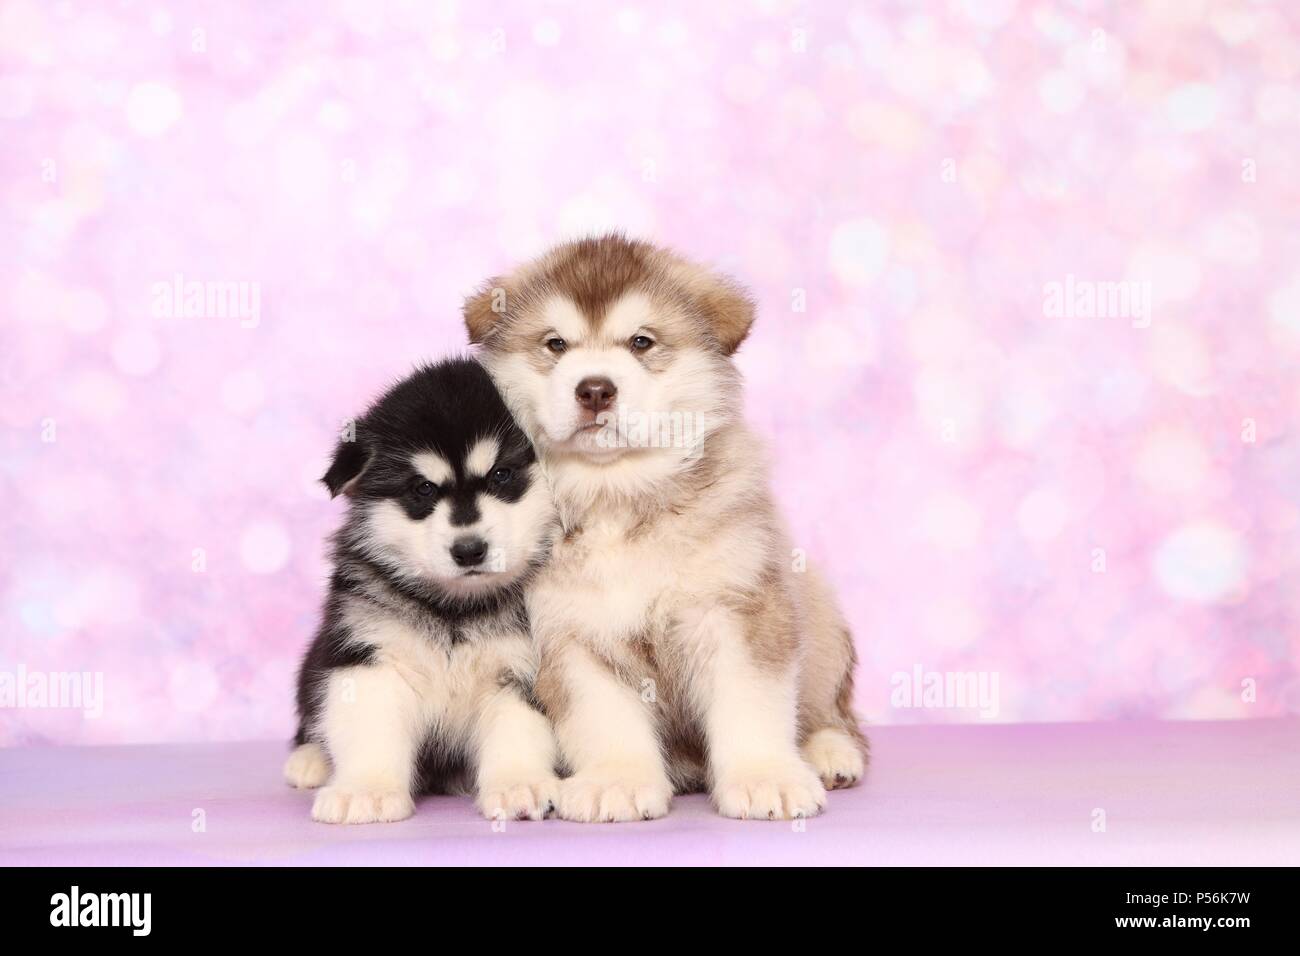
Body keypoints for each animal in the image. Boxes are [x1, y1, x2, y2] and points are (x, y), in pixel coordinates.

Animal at [284, 358, 559, 822]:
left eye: (501, 475)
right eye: (423, 488)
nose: (469, 550)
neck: (455, 610)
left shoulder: (521, 669)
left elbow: (519, 729)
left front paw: (518, 783)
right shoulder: (369, 655)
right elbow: (369, 726)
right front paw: (366, 790)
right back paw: (310, 759)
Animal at [462, 234, 868, 822]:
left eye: (641, 342)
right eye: (556, 344)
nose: (595, 389)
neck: (618, 496)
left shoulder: (737, 609)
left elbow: (751, 702)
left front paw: (765, 777)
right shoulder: (570, 637)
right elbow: (603, 719)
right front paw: (618, 781)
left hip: (818, 614)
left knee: (832, 712)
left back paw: (829, 751)